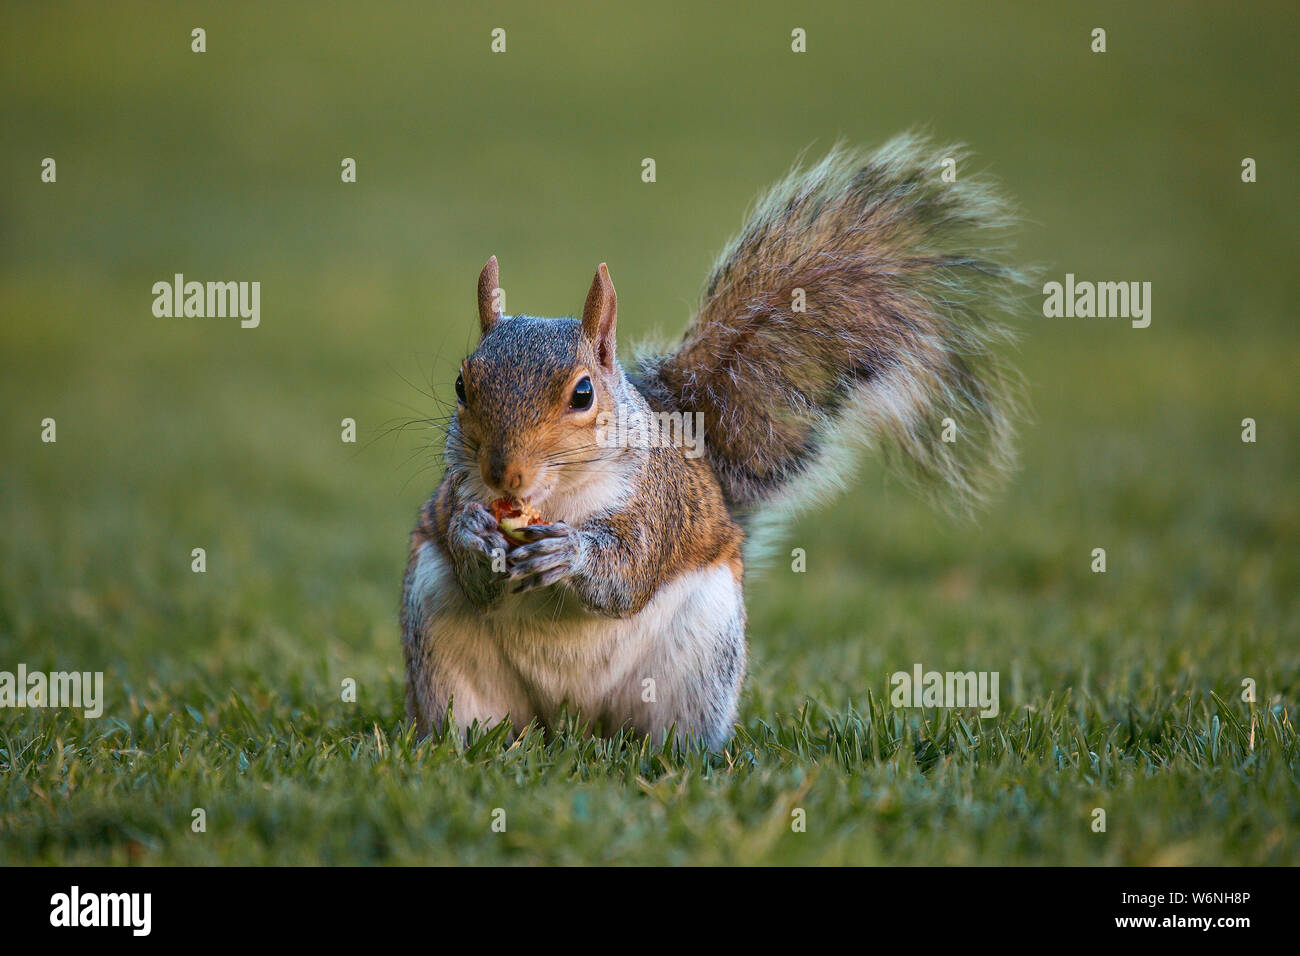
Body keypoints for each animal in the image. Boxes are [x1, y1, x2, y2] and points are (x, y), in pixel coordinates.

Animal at [402, 134, 1025, 751]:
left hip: (701, 656)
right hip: (441, 641)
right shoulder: (459, 494)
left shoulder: (660, 505)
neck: (556, 496)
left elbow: (627, 572)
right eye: (461, 385)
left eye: (582, 394)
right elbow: (472, 567)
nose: (503, 474)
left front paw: (569, 551)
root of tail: (570, 725)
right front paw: (472, 533)